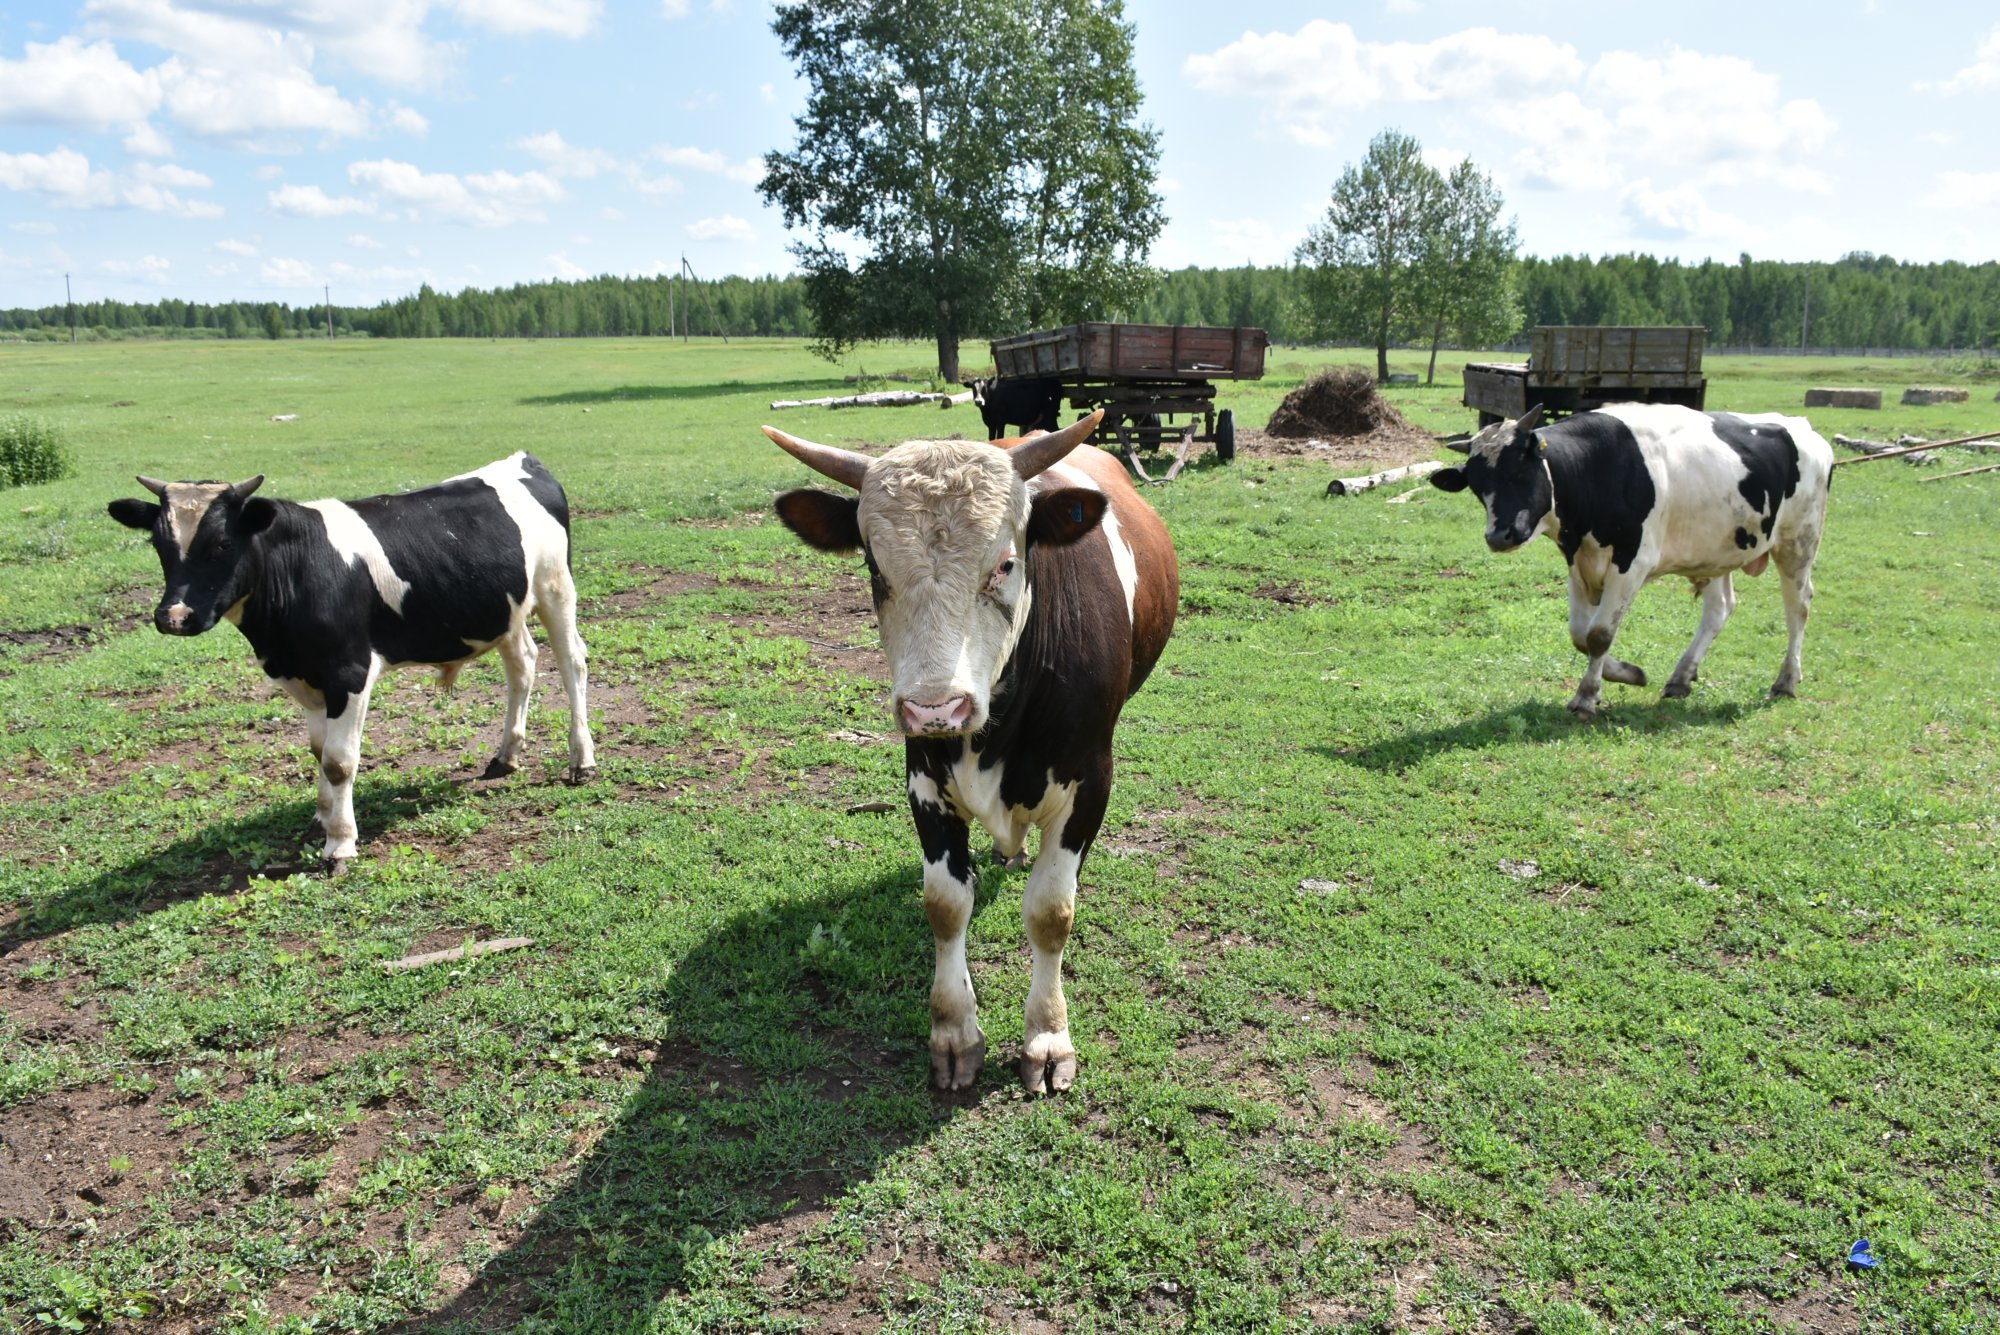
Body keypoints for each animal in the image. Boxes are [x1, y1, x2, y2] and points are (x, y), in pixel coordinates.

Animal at [111, 447, 592, 867]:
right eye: (159, 543)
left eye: (223, 544)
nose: (174, 616)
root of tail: (523, 460)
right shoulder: (304, 676)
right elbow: (318, 750)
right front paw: (323, 817)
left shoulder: (349, 671)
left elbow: (339, 761)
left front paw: (340, 843)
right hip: (505, 609)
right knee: (523, 664)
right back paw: (506, 755)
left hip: (556, 588)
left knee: (573, 664)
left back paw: (581, 760)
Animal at [760, 411, 1168, 1087]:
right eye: (874, 567)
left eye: (1004, 564)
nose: (935, 708)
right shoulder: (924, 779)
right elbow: (946, 905)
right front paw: (954, 1033)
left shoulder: (1090, 781)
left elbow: (1051, 912)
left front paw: (1047, 1037)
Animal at [1432, 401, 1832, 719]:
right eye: (1476, 485)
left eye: (1519, 470)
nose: (1499, 536)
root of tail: (1804, 428)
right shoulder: (1577, 562)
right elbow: (1580, 635)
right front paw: (1626, 673)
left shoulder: (1631, 563)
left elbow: (1599, 635)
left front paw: (1586, 697)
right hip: (1717, 548)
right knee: (1720, 608)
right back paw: (1681, 677)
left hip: (1799, 540)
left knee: (1798, 607)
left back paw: (1786, 681)